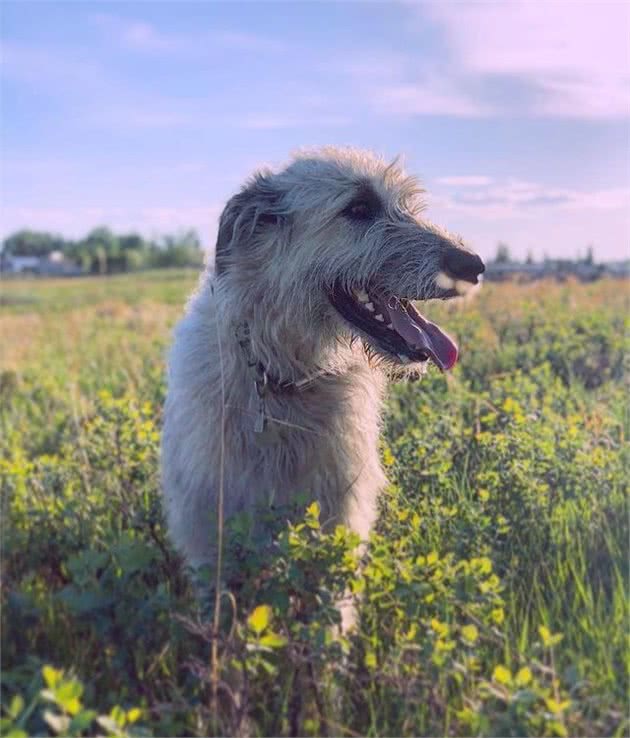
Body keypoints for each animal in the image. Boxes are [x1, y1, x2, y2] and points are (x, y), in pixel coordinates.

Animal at [162, 148, 484, 568]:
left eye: (408, 206)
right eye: (359, 207)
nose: (474, 266)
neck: (286, 375)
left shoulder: (342, 507)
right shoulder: (206, 524)